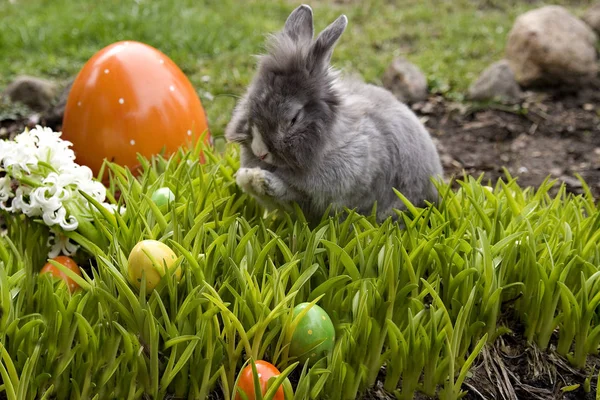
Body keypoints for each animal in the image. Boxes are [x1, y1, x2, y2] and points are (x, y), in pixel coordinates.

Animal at [224, 3, 440, 222]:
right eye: (251, 102)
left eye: (293, 119)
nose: (260, 152)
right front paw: (247, 177)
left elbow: (290, 192)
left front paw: (257, 179)